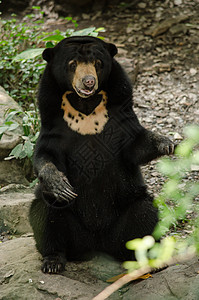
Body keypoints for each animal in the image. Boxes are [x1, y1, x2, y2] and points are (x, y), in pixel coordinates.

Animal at [29, 35, 174, 274]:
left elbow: (134, 145)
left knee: (145, 212)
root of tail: (98, 245)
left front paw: (167, 143)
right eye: (72, 64)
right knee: (45, 210)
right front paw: (59, 183)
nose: (88, 82)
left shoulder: (121, 110)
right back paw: (53, 262)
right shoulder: (51, 117)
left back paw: (149, 261)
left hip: (126, 216)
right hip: (69, 230)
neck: (86, 104)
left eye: (97, 63)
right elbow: (46, 154)